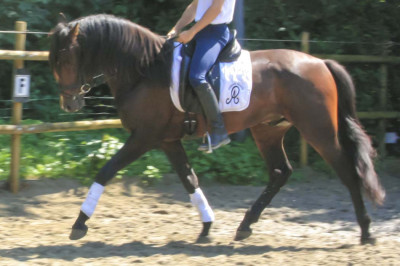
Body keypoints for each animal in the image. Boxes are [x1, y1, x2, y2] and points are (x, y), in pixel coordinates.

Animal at [49, 14, 384, 243]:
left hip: (318, 129)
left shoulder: (144, 137)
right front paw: (207, 226)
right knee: (280, 172)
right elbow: (189, 180)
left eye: (66, 58)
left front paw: (79, 224)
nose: (69, 103)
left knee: (347, 169)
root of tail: (320, 63)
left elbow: (105, 171)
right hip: (268, 130)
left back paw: (366, 231)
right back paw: (245, 225)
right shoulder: (167, 140)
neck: (145, 69)